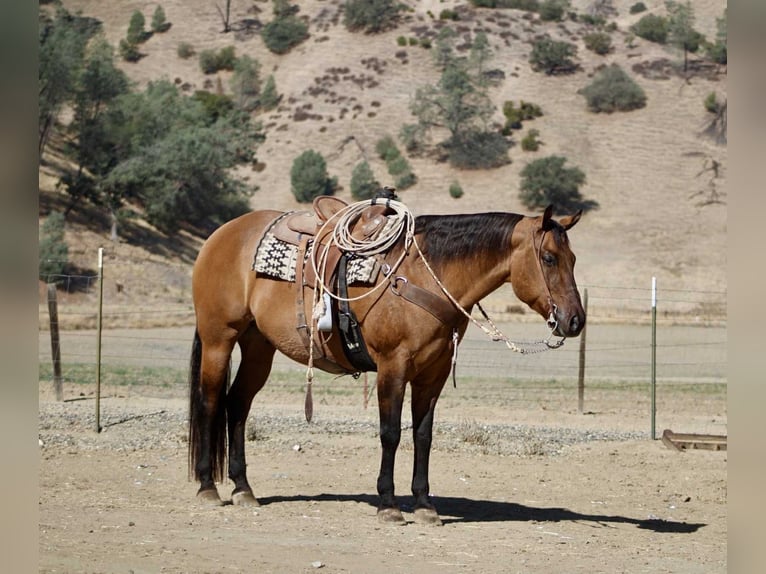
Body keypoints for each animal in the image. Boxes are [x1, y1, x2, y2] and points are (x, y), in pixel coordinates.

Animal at [187, 200, 585, 525]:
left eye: (574, 260)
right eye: (549, 258)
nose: (575, 321)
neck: (426, 275)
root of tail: (220, 234)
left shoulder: (433, 375)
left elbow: (423, 435)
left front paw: (424, 504)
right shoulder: (393, 367)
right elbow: (390, 433)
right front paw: (388, 504)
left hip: (258, 346)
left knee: (238, 405)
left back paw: (243, 488)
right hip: (219, 339)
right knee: (211, 402)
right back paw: (208, 487)